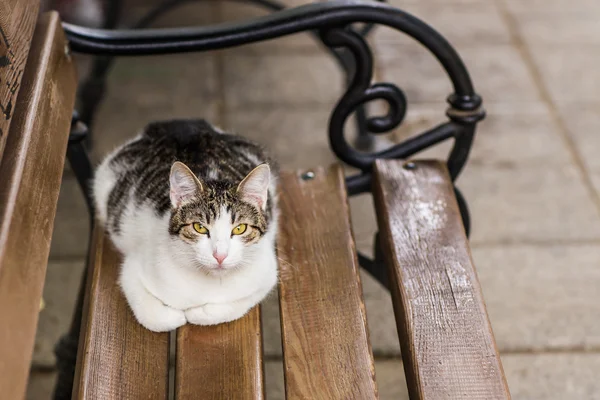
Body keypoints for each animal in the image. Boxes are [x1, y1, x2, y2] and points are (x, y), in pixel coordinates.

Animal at [92, 119, 280, 332]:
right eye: (199, 227)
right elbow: (154, 317)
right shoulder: (132, 269)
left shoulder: (266, 273)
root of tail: (178, 123)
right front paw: (176, 316)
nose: (220, 255)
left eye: (239, 229)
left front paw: (197, 313)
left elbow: (237, 303)